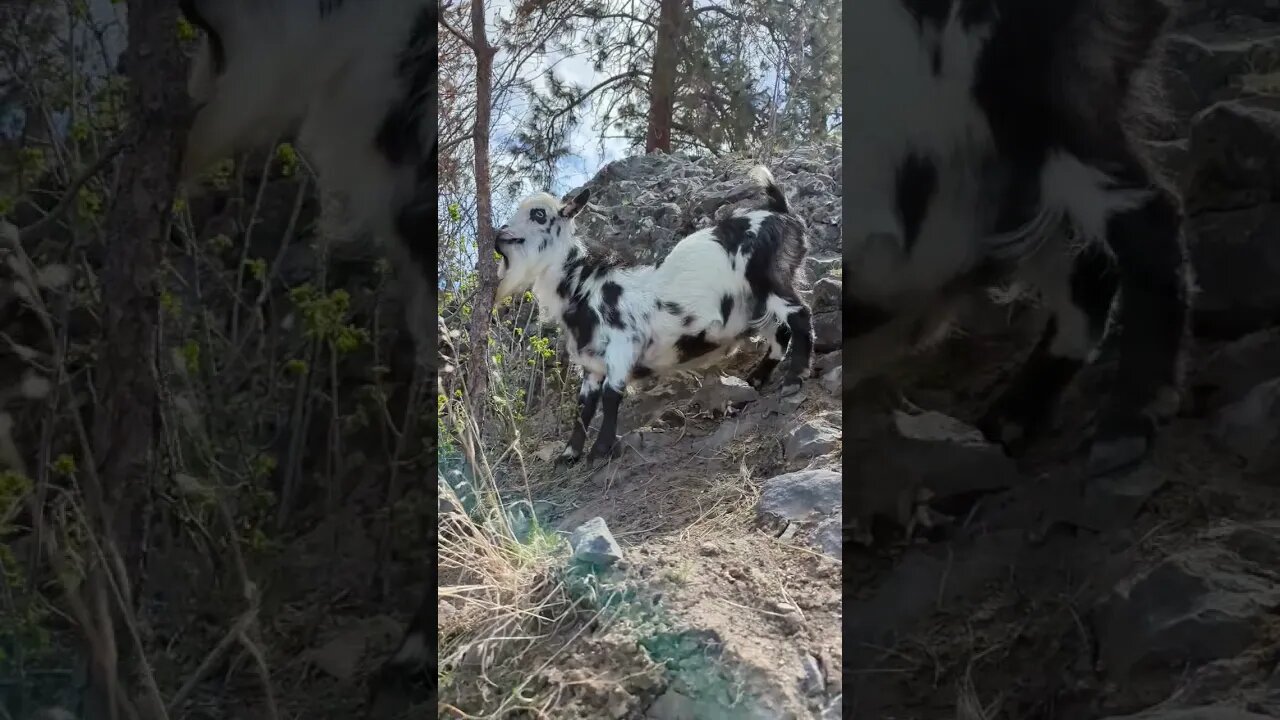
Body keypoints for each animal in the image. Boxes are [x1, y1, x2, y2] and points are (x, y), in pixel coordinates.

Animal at [494, 166, 814, 462]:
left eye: (539, 215)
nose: (501, 234)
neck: (584, 286)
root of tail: (779, 210)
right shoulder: (592, 361)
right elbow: (584, 404)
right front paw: (569, 454)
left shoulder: (622, 345)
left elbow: (611, 395)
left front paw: (599, 451)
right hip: (754, 303)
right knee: (780, 331)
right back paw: (758, 378)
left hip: (771, 279)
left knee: (800, 315)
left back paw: (794, 379)